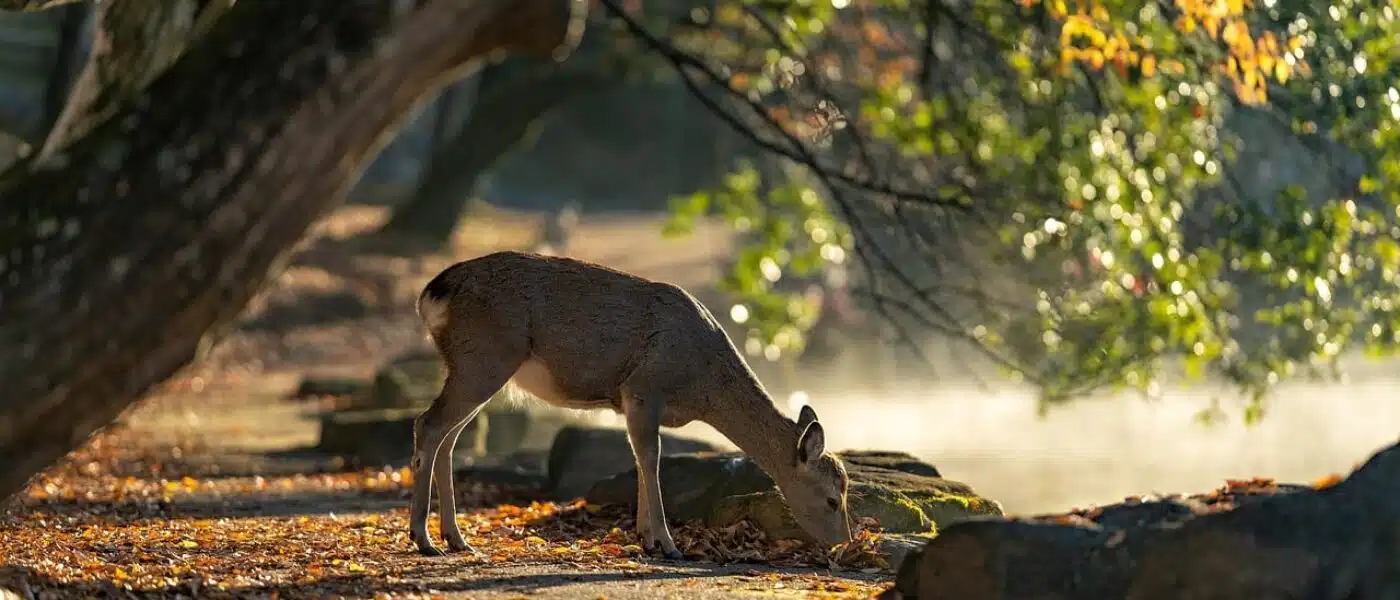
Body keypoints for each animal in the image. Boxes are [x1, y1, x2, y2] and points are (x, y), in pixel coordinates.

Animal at [408, 250, 853, 558]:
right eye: (833, 499)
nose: (844, 542)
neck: (701, 385)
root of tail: (432, 293)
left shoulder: (627, 400)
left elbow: (639, 458)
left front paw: (647, 539)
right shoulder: (644, 387)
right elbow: (651, 458)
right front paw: (668, 545)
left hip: (474, 366)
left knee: (448, 436)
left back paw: (457, 539)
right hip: (484, 359)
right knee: (428, 425)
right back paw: (424, 539)